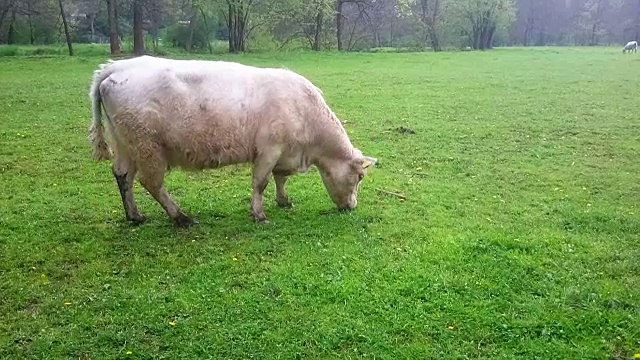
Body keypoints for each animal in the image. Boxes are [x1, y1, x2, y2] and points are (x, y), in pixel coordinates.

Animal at [89, 54, 378, 226]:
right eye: (360, 177)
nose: (352, 207)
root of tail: (117, 66)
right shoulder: (269, 150)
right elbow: (261, 182)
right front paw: (259, 214)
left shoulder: (284, 153)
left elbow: (280, 178)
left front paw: (283, 201)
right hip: (148, 148)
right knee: (151, 183)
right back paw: (180, 216)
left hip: (126, 145)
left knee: (123, 175)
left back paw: (135, 216)